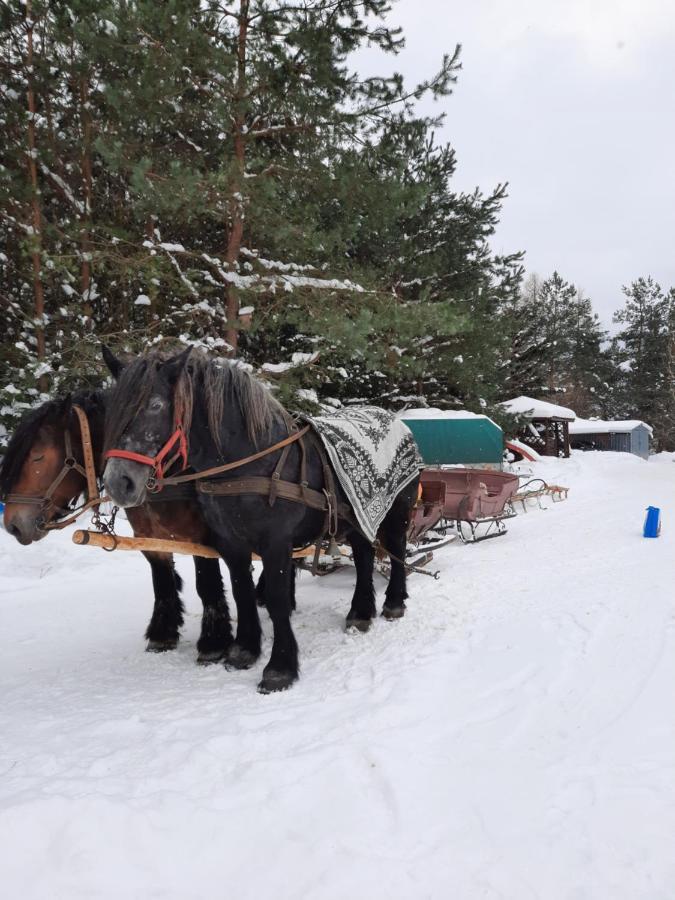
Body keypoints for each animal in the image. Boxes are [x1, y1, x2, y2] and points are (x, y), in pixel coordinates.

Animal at [1, 382, 232, 660]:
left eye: (38, 457)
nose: (12, 524)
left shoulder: (203, 538)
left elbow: (207, 583)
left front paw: (214, 643)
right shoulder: (150, 539)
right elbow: (163, 584)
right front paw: (162, 635)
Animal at [102, 348, 420, 692]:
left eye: (156, 405)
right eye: (112, 407)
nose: (118, 482)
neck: (252, 462)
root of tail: (396, 420)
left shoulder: (276, 542)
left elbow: (277, 600)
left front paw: (280, 668)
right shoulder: (230, 543)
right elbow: (241, 592)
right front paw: (244, 650)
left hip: (397, 511)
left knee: (396, 550)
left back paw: (393, 603)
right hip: (355, 517)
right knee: (363, 556)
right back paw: (360, 612)